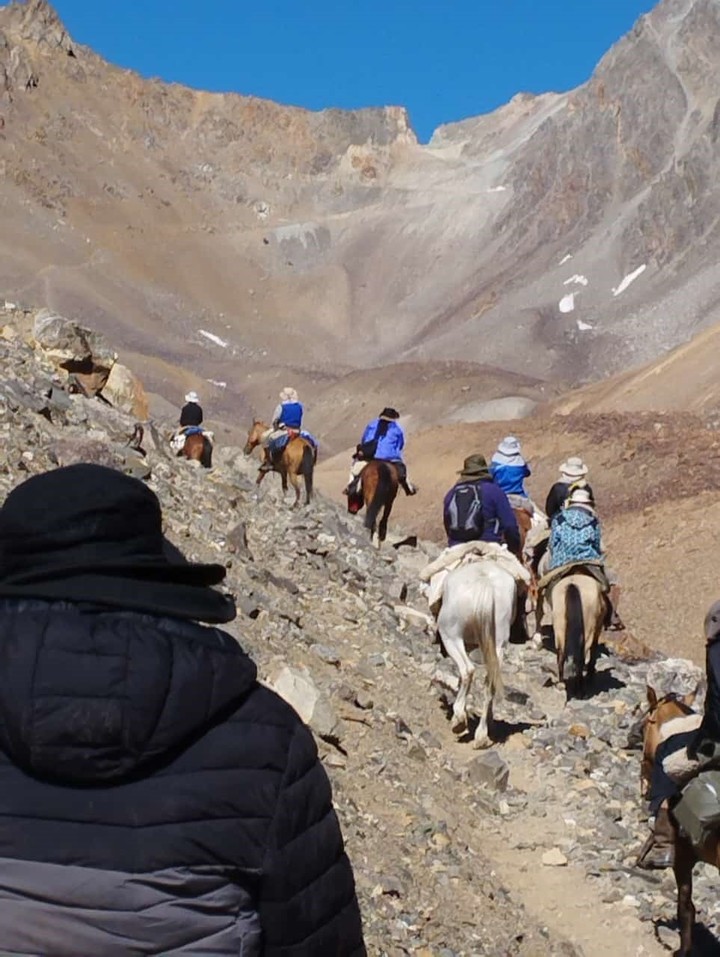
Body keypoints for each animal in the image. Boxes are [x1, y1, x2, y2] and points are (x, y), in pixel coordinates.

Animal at [434, 556, 516, 752]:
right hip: (499, 644)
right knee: (490, 682)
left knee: (467, 670)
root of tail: (485, 584)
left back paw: (458, 720)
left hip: (451, 637)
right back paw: (482, 735)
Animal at [552, 572, 608, 700]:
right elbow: (593, 650)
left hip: (559, 628)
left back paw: (561, 684)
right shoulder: (596, 630)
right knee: (580, 658)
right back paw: (580, 691)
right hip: (588, 631)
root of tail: (573, 584)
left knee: (561, 655)